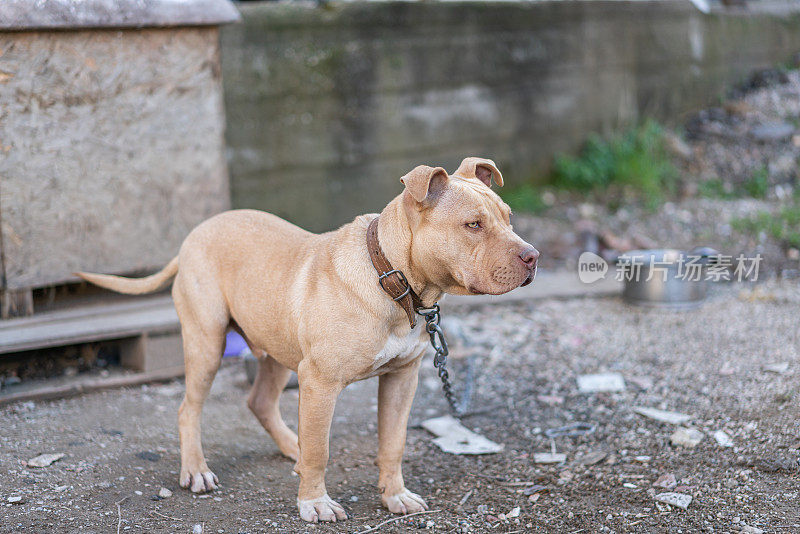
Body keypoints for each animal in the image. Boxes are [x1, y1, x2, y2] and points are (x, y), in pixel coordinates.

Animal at [78, 157, 540, 524]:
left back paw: (291, 448)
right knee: (188, 409)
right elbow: (321, 449)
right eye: (473, 225)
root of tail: (195, 234)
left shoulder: (401, 379)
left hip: (276, 350)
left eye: (508, 217)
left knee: (260, 401)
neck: (391, 278)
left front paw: (394, 495)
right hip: (206, 344)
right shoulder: (320, 383)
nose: (533, 256)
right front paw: (314, 502)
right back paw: (197, 470)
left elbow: (393, 442)